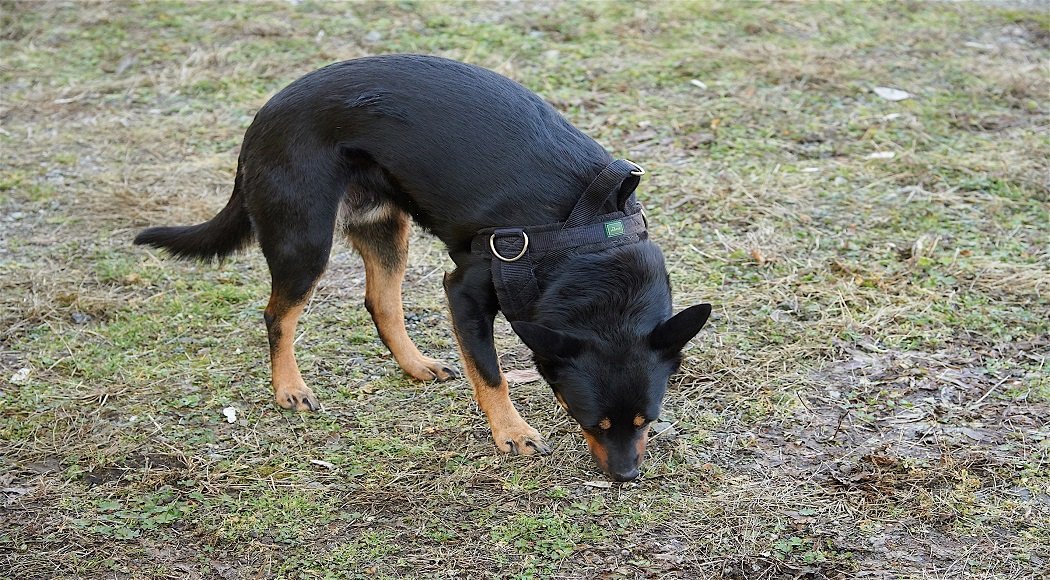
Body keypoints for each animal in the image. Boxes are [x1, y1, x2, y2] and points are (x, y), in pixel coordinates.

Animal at [135, 54, 709, 481]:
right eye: (587, 418)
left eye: (648, 420)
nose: (625, 476)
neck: (589, 247)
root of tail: (263, 116)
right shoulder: (465, 292)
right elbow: (492, 373)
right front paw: (512, 433)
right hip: (305, 240)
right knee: (278, 314)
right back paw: (289, 388)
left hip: (386, 229)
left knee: (380, 302)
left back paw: (415, 365)